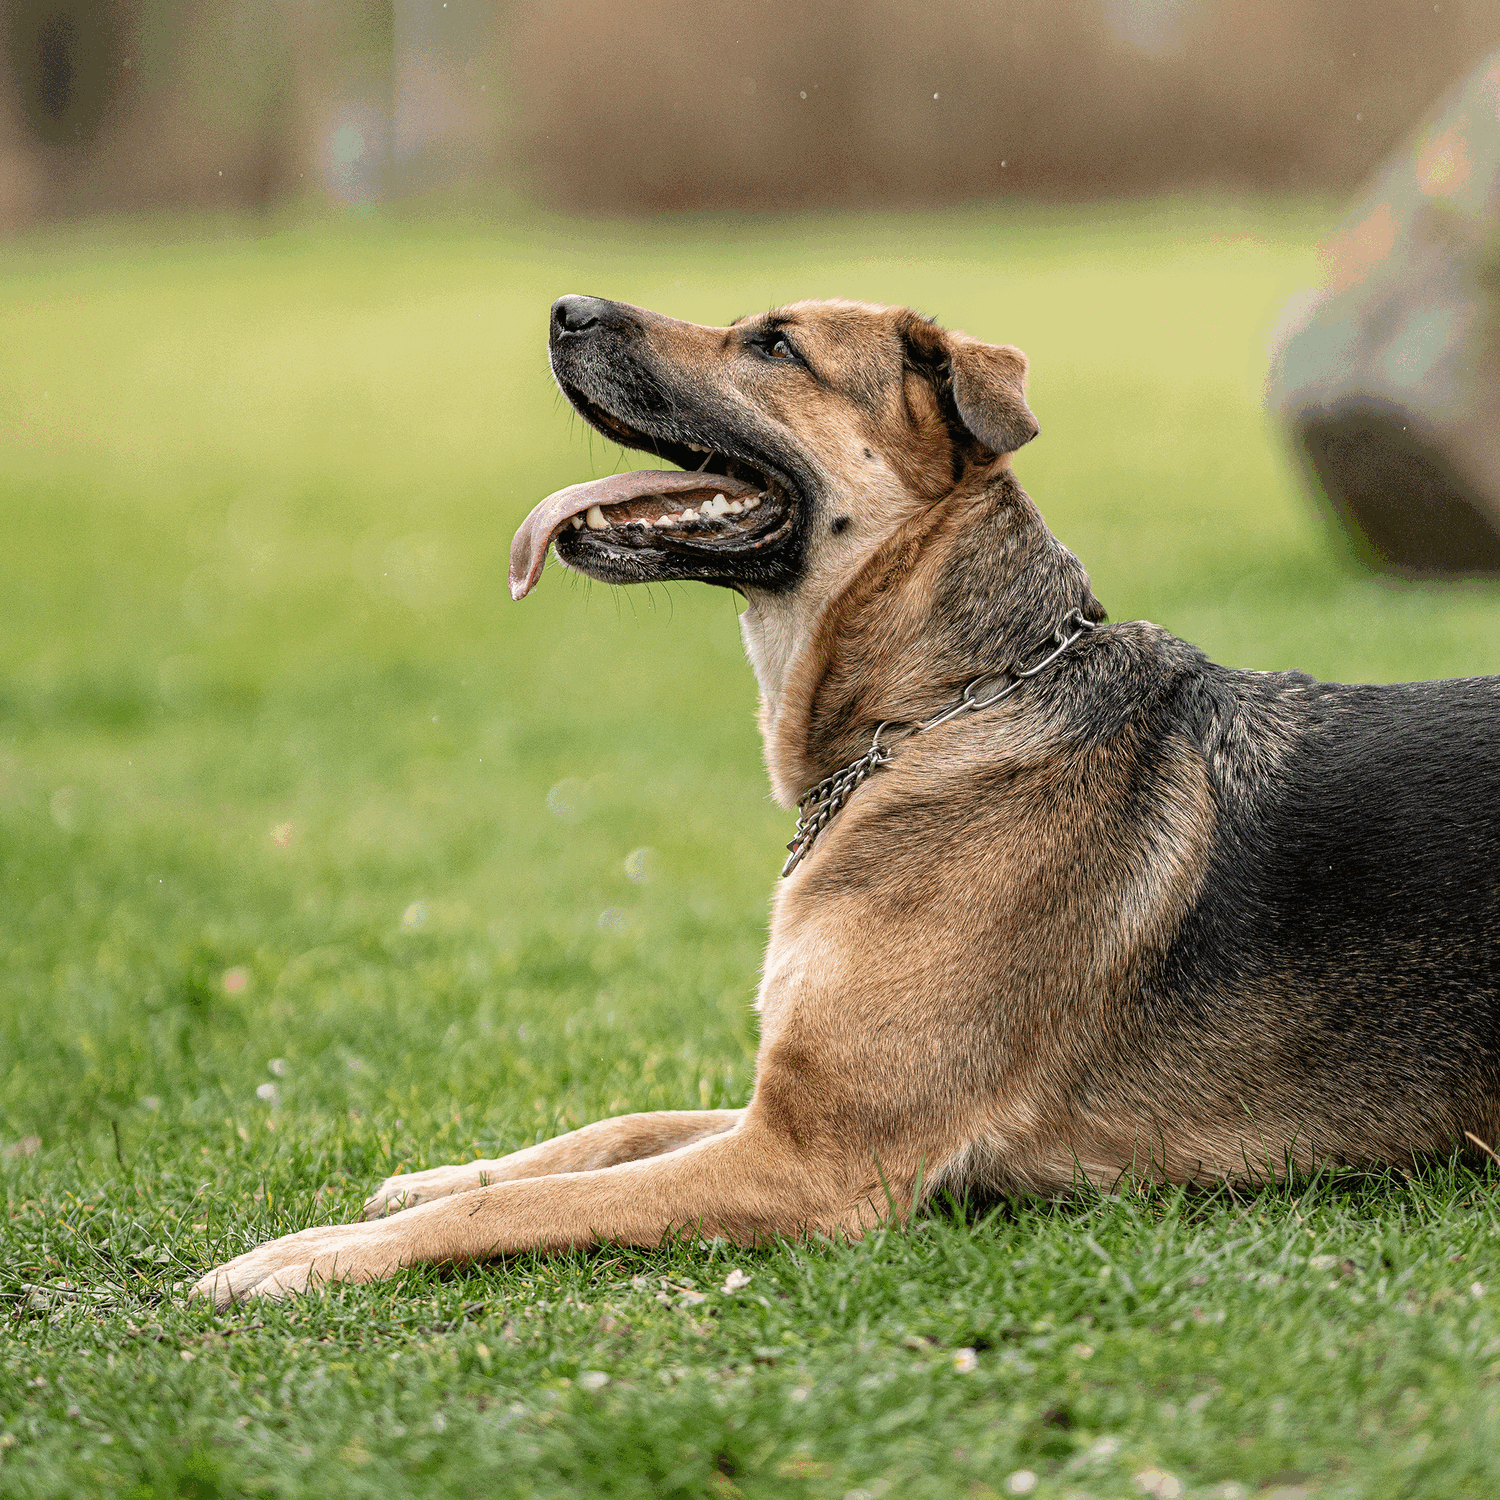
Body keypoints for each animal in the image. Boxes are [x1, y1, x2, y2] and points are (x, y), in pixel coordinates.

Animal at [193, 289, 1500, 1302]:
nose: (563, 309)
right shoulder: (778, 1113)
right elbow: (610, 1131)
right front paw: (430, 1175)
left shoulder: (811, 1160)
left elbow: (527, 1208)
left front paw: (315, 1255)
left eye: (775, 345)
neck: (946, 709)